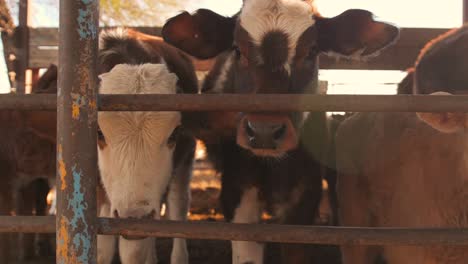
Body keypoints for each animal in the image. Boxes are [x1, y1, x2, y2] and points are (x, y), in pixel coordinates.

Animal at [95, 28, 197, 264]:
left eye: (174, 133)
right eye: (99, 133)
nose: (134, 214)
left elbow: (133, 252)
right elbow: (103, 249)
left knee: (178, 204)